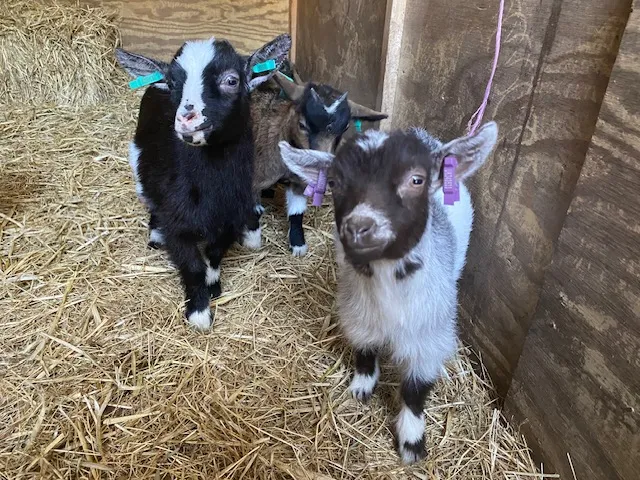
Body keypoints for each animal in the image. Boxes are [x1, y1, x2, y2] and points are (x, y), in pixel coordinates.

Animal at [115, 34, 291, 330]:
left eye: (231, 80)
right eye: (173, 83)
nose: (187, 119)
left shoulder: (230, 218)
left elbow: (213, 255)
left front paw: (213, 287)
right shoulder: (177, 223)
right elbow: (192, 265)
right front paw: (198, 312)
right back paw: (155, 234)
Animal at [278, 121, 498, 463]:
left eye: (417, 179)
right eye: (335, 182)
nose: (358, 227)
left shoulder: (428, 339)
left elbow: (415, 390)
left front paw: (411, 443)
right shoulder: (358, 313)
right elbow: (365, 351)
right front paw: (362, 387)